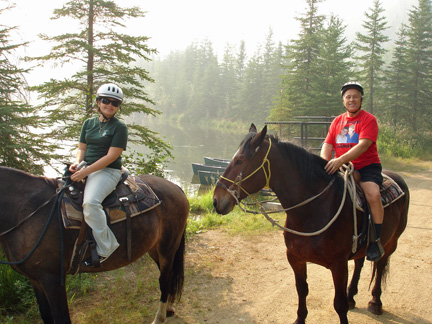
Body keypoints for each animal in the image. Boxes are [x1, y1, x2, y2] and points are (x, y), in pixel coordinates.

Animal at [0, 167, 189, 324]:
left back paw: (159, 317)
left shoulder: (52, 279)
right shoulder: (35, 280)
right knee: (168, 275)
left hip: (167, 248)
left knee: (164, 279)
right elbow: (46, 316)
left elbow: (61, 318)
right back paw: (169, 308)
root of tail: (176, 187)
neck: (28, 210)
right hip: (155, 249)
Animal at [214, 124, 410, 324]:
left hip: (391, 242)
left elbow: (339, 304)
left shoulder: (339, 265)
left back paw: (375, 302)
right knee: (359, 262)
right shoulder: (295, 258)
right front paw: (300, 318)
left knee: (381, 265)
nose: (216, 200)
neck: (314, 209)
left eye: (239, 160)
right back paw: (352, 296)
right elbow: (302, 290)